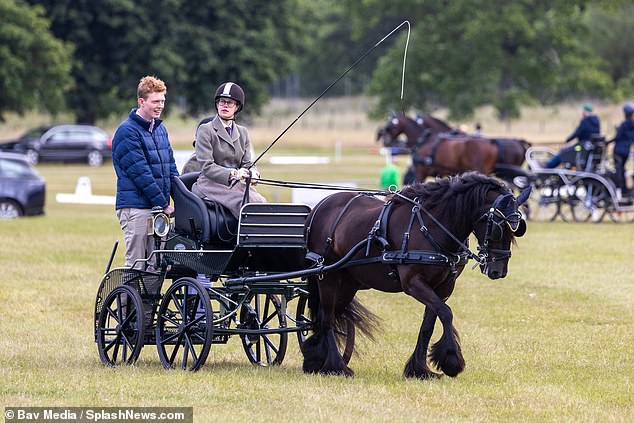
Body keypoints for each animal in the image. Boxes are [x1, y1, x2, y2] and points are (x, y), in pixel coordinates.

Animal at [302, 174, 528, 380]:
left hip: (349, 283)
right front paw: (451, 360)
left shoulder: (444, 287)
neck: (431, 225)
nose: (498, 271)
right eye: (498, 226)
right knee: (327, 317)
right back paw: (336, 366)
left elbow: (428, 324)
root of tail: (318, 207)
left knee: (326, 315)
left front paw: (419, 369)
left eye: (518, 227)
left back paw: (315, 358)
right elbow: (446, 313)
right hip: (327, 276)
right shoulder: (414, 284)